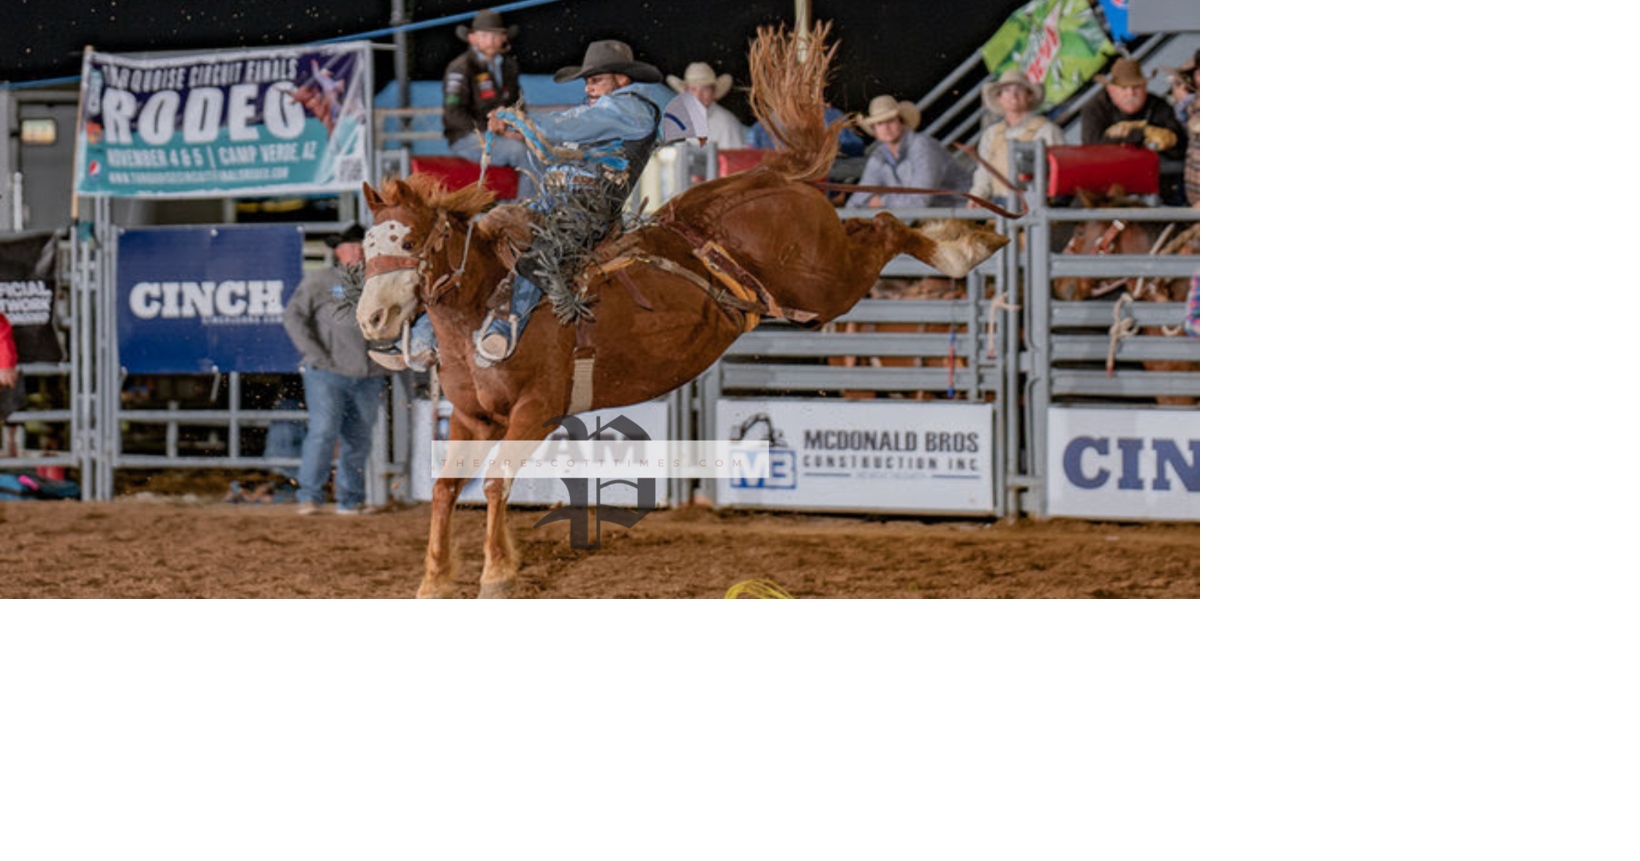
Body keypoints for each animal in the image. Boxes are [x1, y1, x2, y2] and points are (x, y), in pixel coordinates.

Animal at [352, 23, 1003, 593]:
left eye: (409, 242)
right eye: (367, 240)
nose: (371, 320)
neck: (482, 307)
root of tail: (774, 176)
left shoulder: (536, 411)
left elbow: (494, 483)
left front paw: (496, 574)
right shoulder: (470, 417)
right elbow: (444, 488)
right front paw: (434, 579)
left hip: (826, 284)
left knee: (888, 224)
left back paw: (964, 245)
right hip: (817, 291)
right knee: (875, 225)